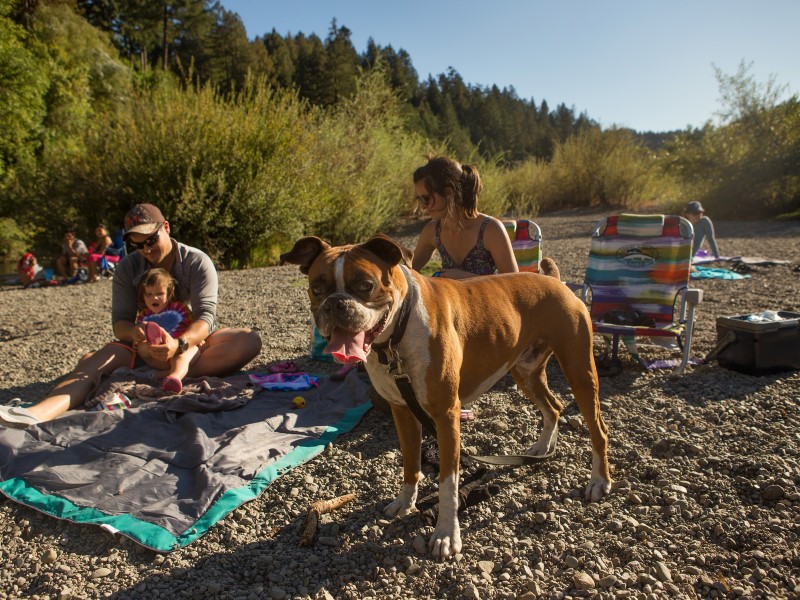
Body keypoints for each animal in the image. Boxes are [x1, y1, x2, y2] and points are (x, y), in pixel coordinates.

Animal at [282, 233, 612, 556]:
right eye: (316, 289)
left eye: (365, 285)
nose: (335, 304)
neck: (397, 332)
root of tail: (554, 280)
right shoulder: (402, 412)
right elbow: (410, 464)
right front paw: (405, 503)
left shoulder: (445, 416)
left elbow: (448, 483)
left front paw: (446, 535)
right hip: (526, 373)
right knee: (553, 407)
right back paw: (542, 448)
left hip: (580, 373)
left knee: (598, 429)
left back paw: (599, 481)